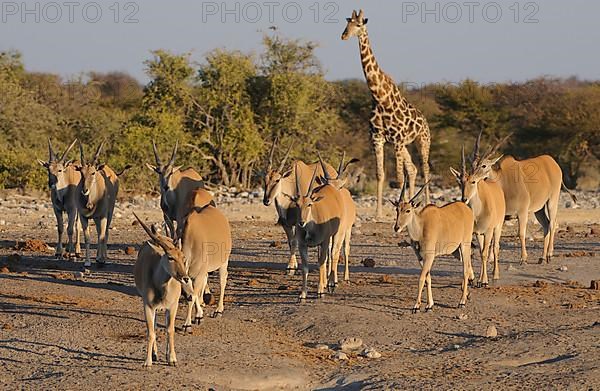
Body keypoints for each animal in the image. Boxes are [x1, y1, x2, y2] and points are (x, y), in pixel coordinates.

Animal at [133, 213, 192, 370]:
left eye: (183, 258)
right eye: (170, 257)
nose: (185, 278)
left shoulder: (172, 306)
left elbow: (170, 330)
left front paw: (172, 359)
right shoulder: (148, 306)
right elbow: (151, 332)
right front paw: (148, 362)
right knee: (153, 326)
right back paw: (154, 354)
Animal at [177, 190, 231, 330]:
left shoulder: (197, 275)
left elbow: (193, 296)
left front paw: (187, 324)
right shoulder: (196, 275)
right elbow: (194, 295)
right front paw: (199, 315)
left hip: (224, 262)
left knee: (223, 280)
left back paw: (218, 310)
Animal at [262, 142, 338, 276]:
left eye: (277, 180)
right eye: (264, 180)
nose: (266, 200)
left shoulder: (300, 223)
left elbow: (295, 242)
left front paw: (291, 267)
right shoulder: (286, 224)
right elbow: (291, 242)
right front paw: (292, 266)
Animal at [342, 9, 432, 219]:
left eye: (359, 25)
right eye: (347, 23)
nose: (344, 35)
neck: (379, 97)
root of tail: (425, 121)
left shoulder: (397, 140)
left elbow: (398, 178)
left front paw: (400, 209)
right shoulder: (378, 139)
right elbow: (380, 174)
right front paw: (378, 213)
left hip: (422, 140)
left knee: (425, 169)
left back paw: (426, 204)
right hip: (404, 145)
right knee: (413, 169)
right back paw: (413, 202)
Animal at [450, 144, 506, 288]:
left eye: (473, 181)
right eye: (460, 182)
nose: (464, 199)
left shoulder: (488, 231)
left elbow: (485, 253)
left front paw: (484, 281)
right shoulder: (475, 233)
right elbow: (476, 253)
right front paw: (472, 278)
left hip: (497, 228)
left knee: (495, 248)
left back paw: (495, 275)